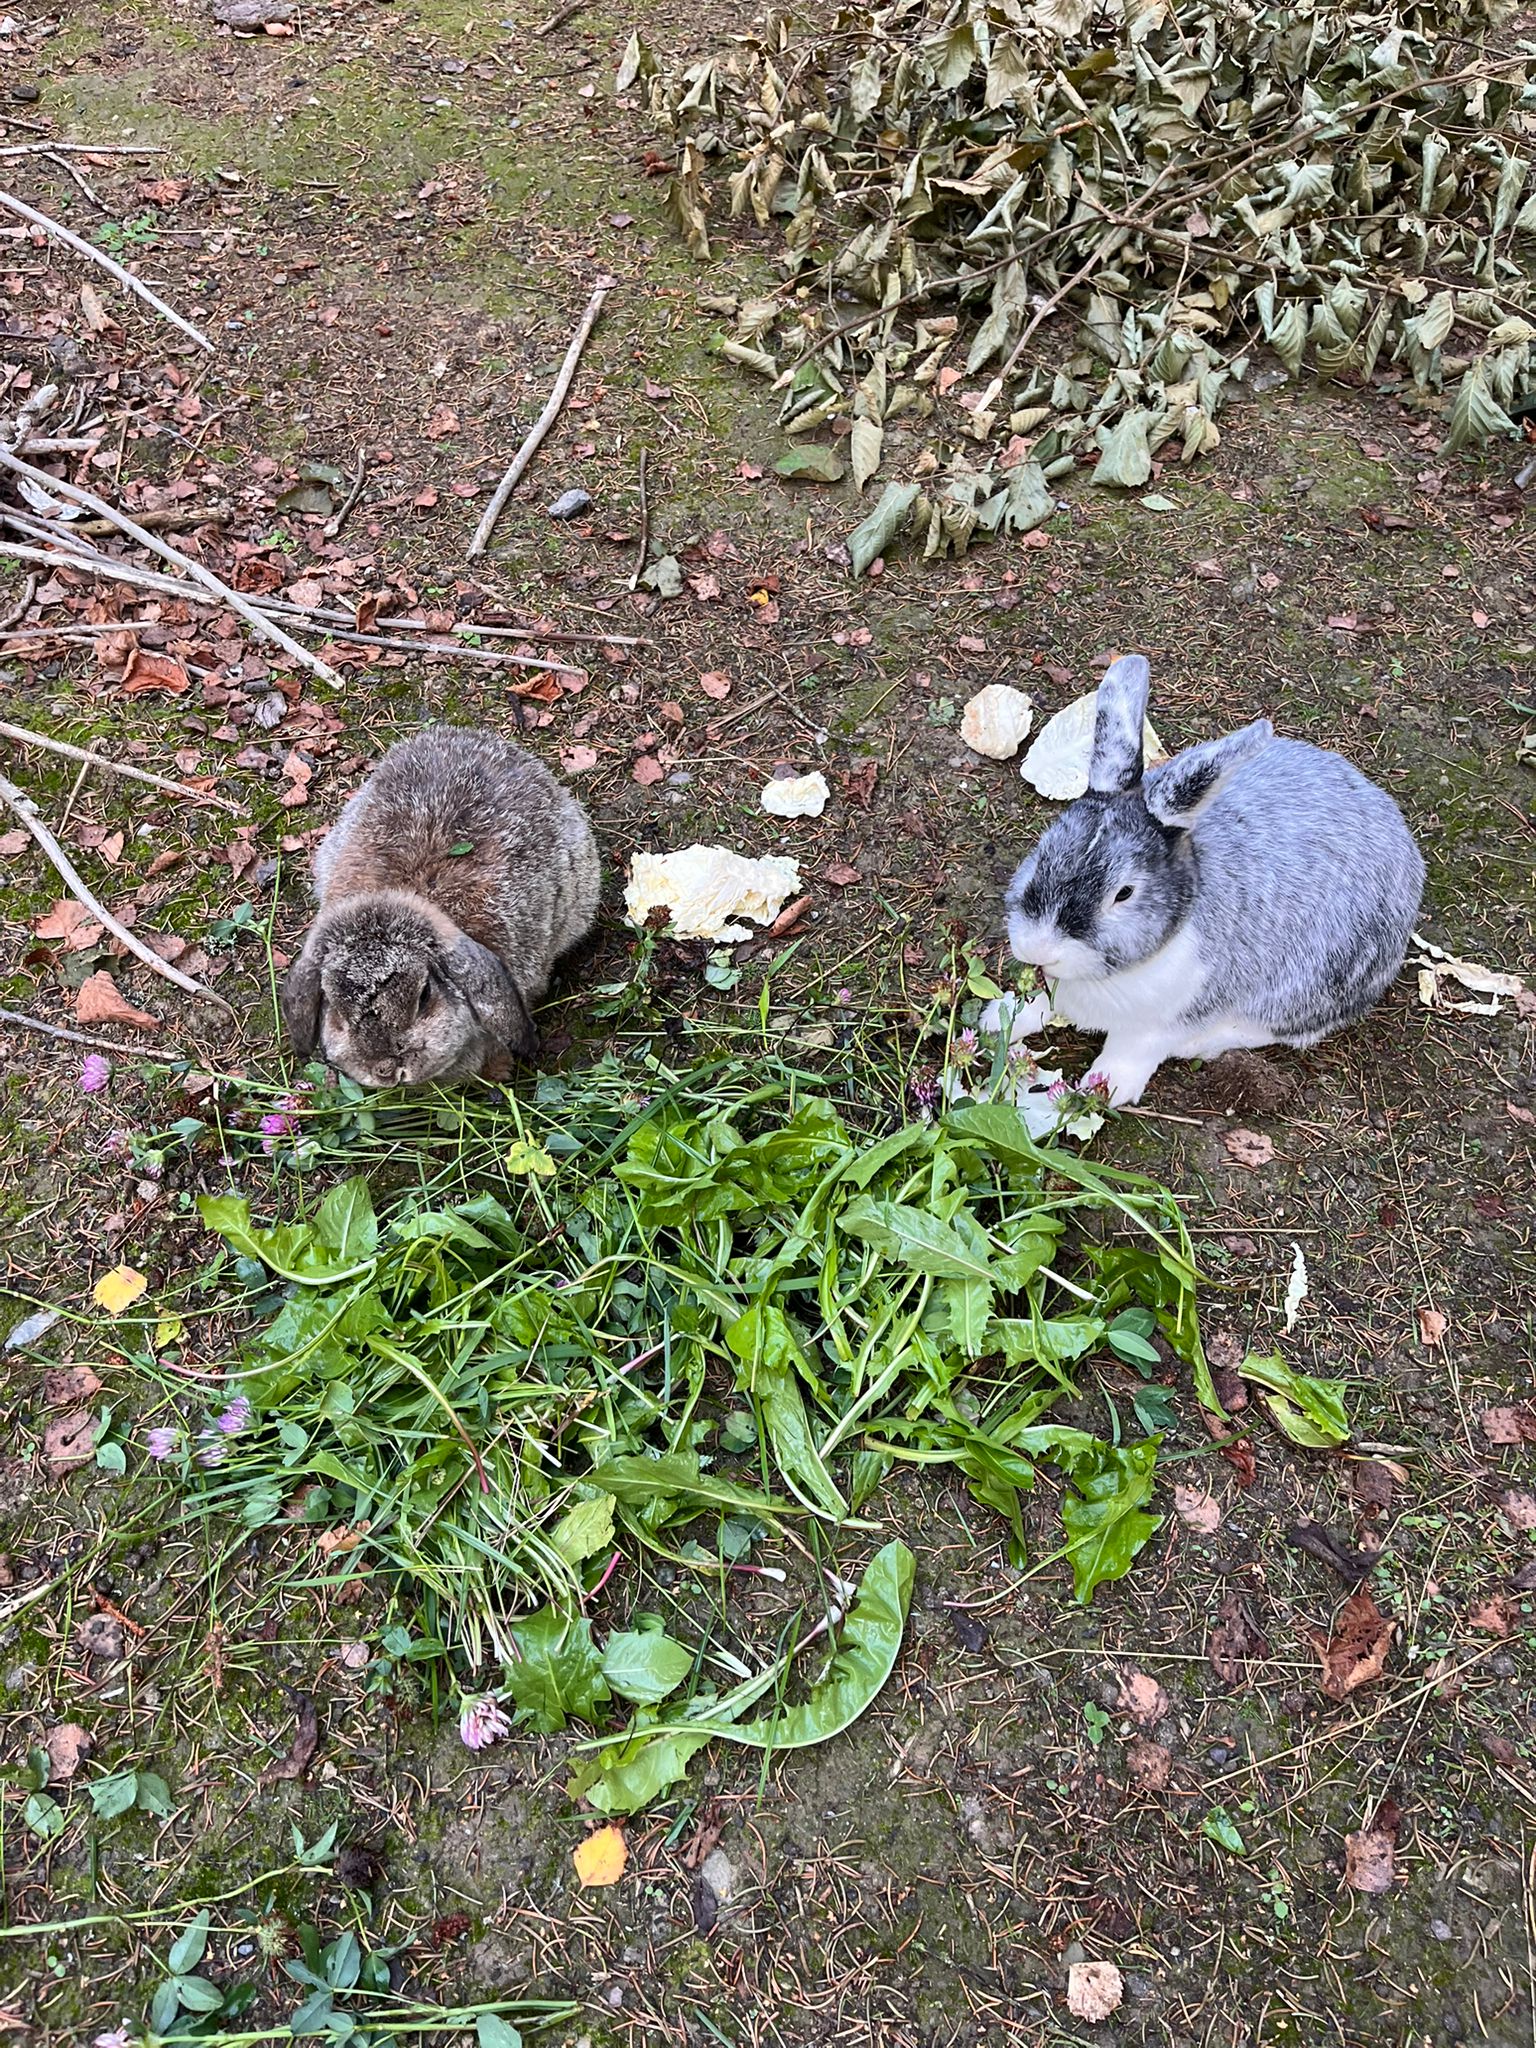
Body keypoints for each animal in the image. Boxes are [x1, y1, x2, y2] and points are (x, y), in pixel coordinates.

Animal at [1002, 654, 1424, 1107]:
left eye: (1124, 893)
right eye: (1044, 851)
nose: (1039, 949)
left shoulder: (1166, 1021)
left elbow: (1132, 1049)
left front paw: (1107, 1087)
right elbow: (1034, 1009)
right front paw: (998, 1020)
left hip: (1314, 987)